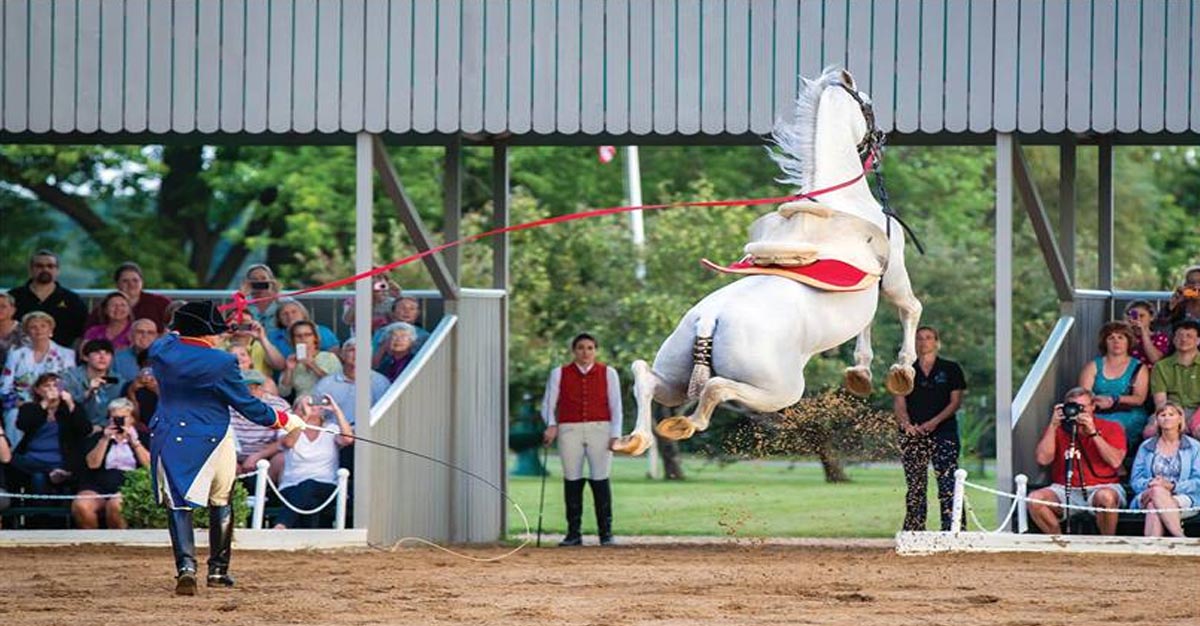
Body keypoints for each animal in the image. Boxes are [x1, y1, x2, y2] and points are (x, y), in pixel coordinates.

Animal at [614, 68, 921, 455]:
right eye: (867, 104)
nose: (881, 139)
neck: (841, 201)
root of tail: (709, 319)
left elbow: (864, 325)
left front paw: (860, 374)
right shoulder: (892, 275)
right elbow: (909, 309)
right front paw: (902, 371)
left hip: (676, 379)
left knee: (645, 378)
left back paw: (634, 439)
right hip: (780, 390)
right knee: (715, 388)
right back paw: (685, 424)